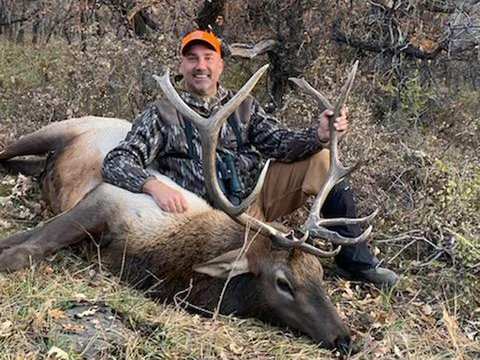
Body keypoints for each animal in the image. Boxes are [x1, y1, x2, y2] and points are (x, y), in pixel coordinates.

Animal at [0, 62, 376, 352]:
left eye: (318, 275)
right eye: (283, 283)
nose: (345, 339)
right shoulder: (105, 198)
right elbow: (28, 247)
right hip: (54, 129)